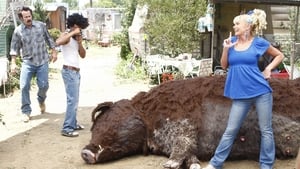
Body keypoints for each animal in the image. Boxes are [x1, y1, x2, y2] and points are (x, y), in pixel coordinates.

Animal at [81, 76, 300, 168]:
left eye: (109, 119)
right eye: (94, 128)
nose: (85, 151)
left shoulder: (184, 123)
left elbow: (183, 142)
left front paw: (169, 165)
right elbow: (189, 152)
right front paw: (193, 165)